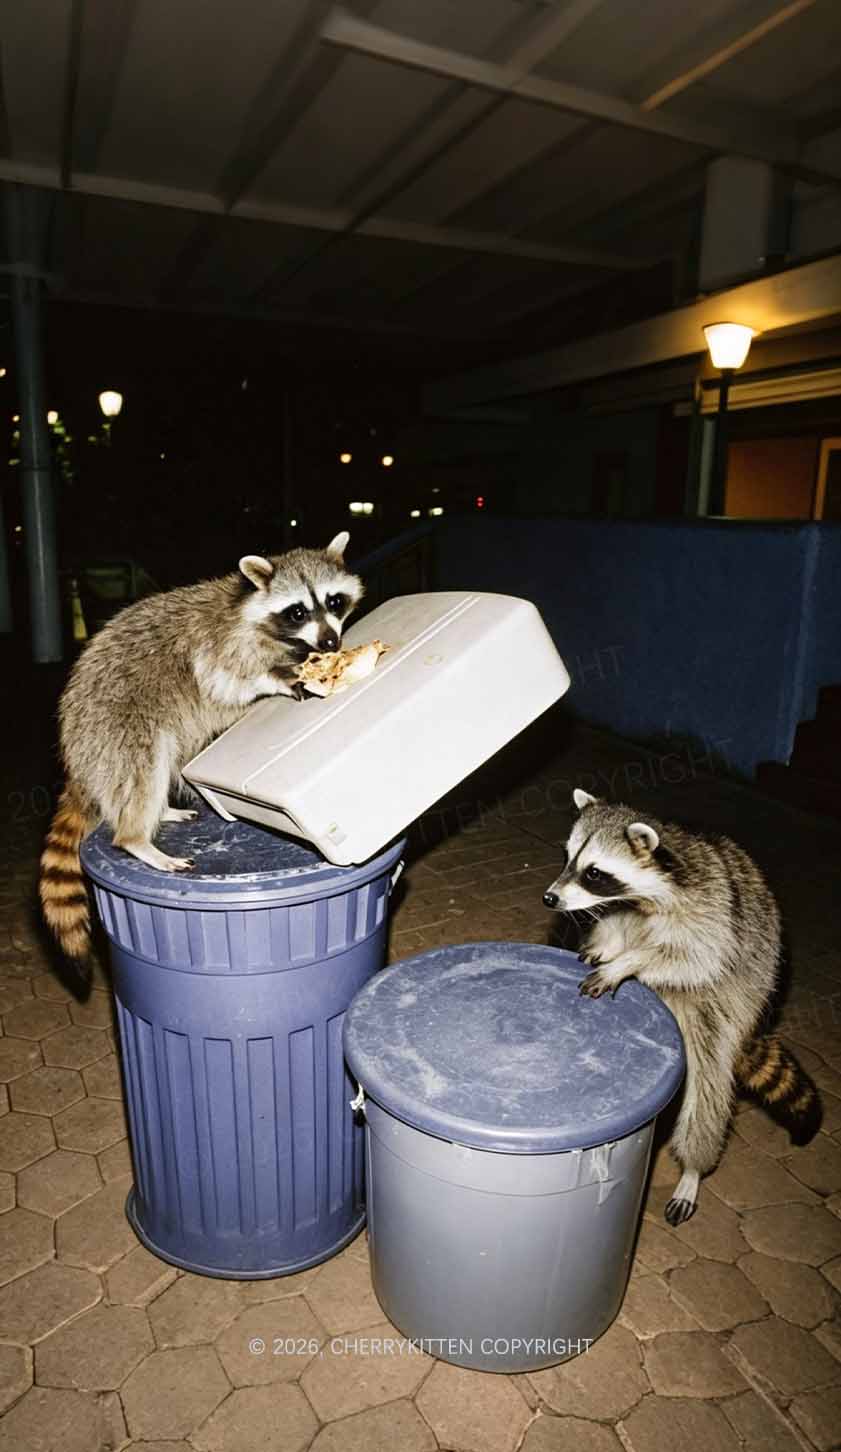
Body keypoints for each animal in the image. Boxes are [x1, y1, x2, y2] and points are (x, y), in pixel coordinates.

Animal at [41, 532, 362, 964]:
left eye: (334, 601)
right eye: (297, 612)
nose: (330, 641)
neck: (253, 610)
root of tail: (76, 749)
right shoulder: (218, 645)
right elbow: (225, 682)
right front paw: (278, 677)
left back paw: (159, 812)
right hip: (115, 726)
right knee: (145, 770)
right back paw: (137, 837)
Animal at [543, 789, 821, 1225]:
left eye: (594, 873)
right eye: (568, 858)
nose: (550, 898)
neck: (638, 898)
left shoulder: (711, 915)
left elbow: (693, 958)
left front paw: (628, 962)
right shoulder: (623, 910)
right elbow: (613, 926)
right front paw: (609, 948)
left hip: (729, 1004)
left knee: (707, 1092)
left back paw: (693, 1169)